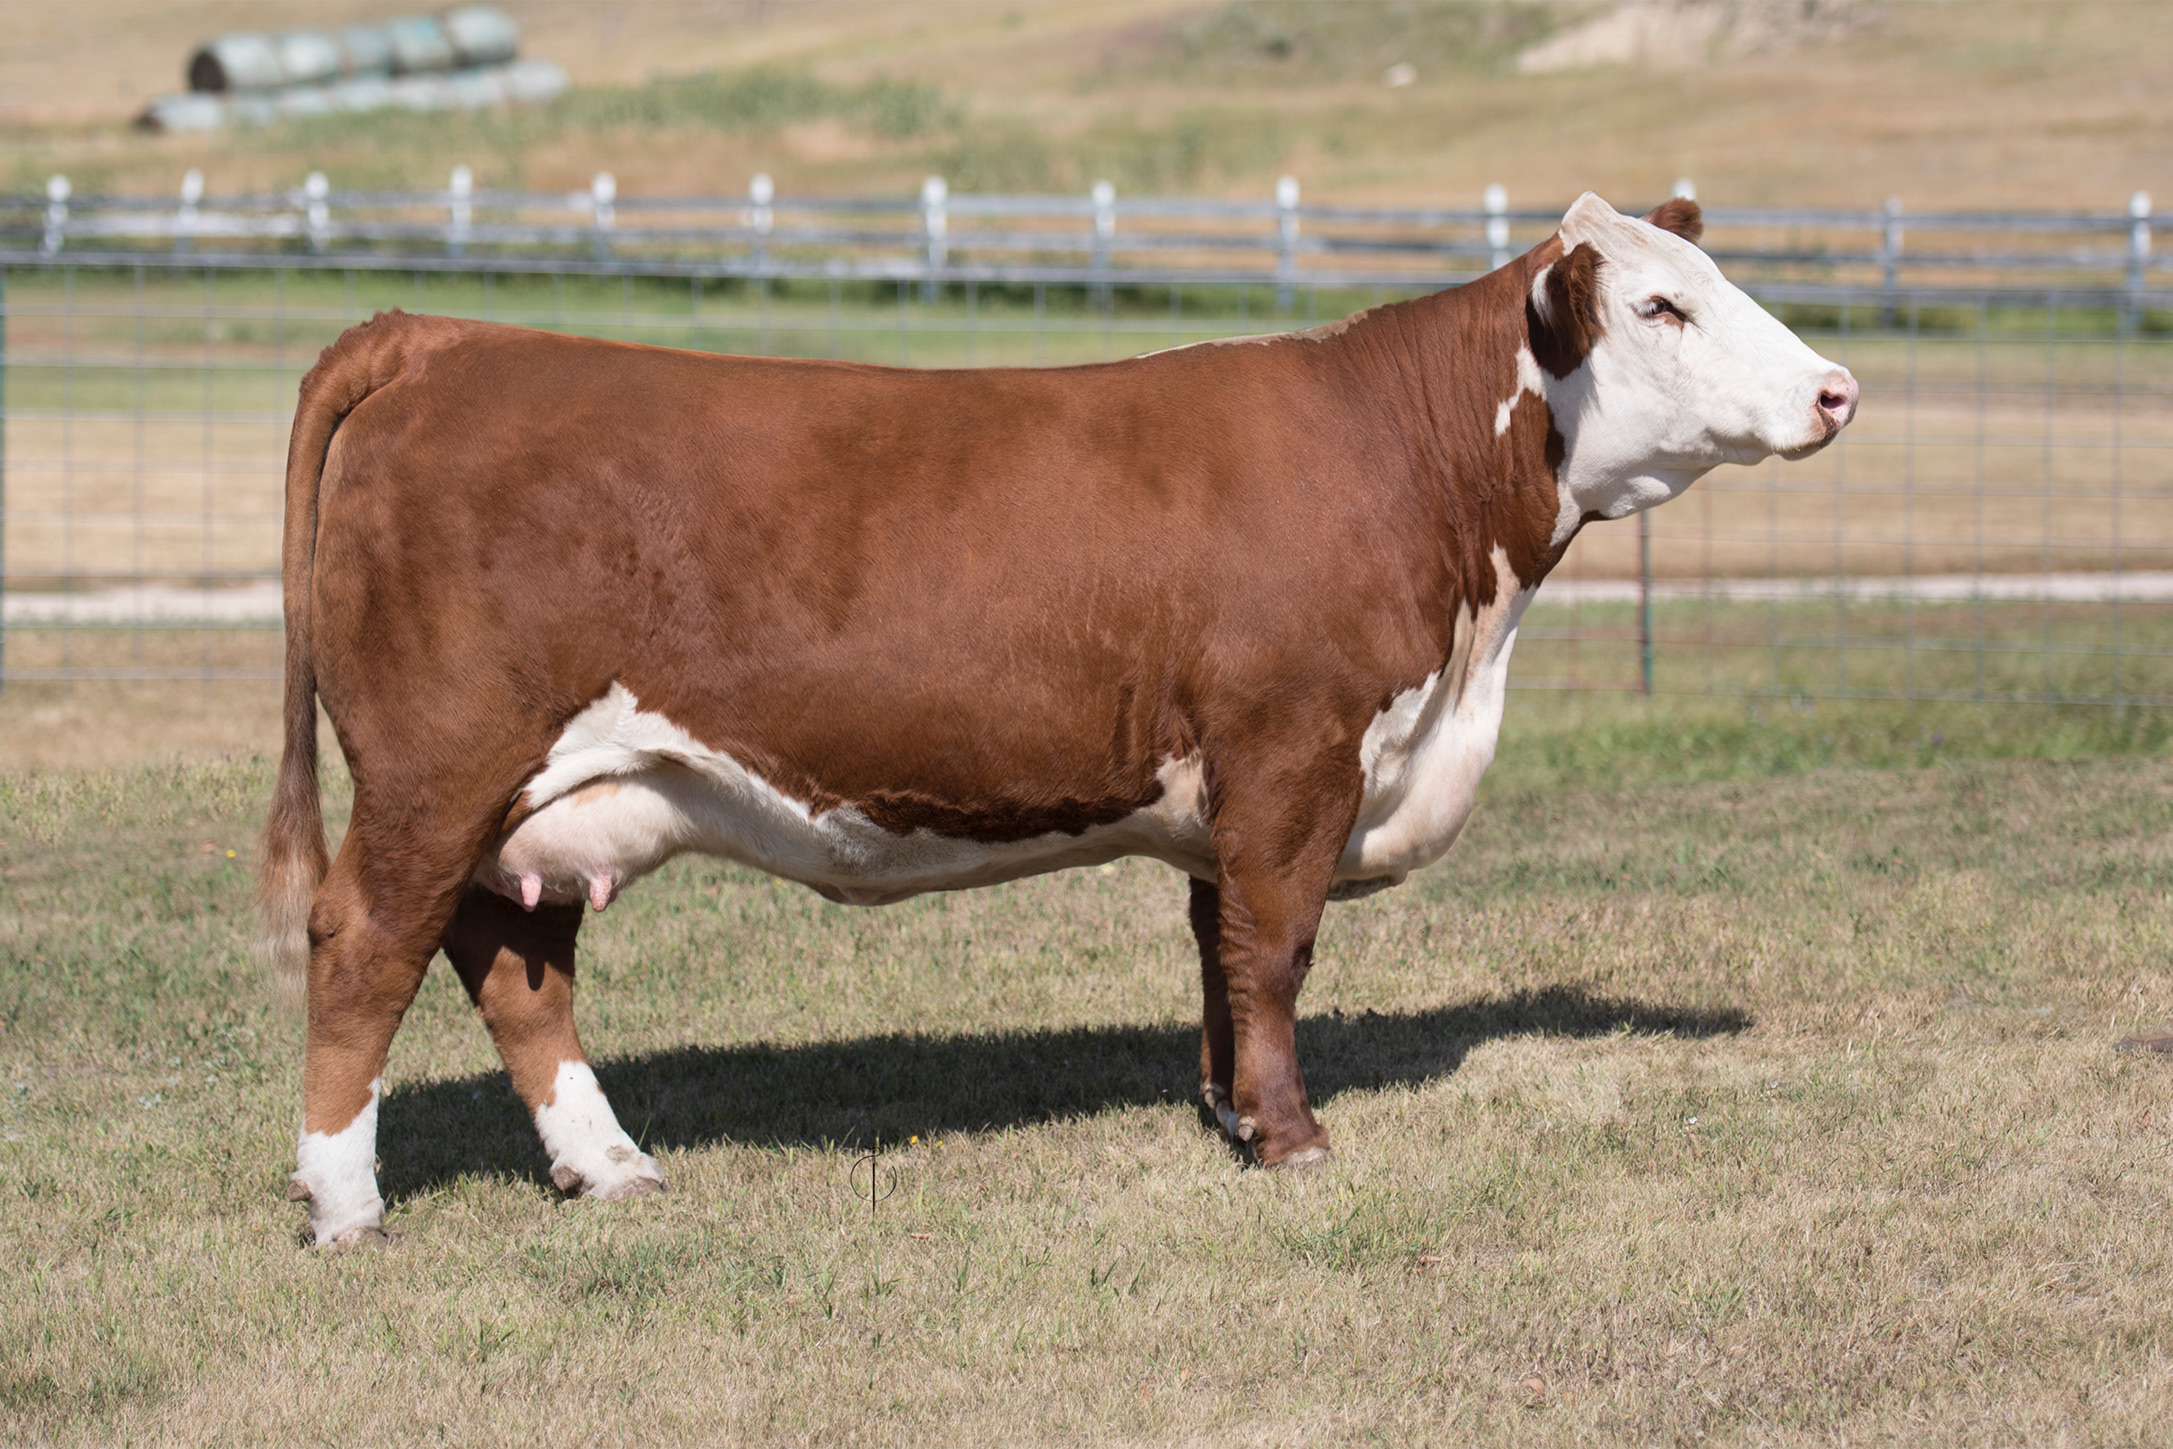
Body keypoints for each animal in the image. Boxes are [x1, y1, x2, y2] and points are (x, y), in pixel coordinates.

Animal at [267, 192, 1868, 1251]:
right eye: (1660, 306)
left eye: (1713, 278)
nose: (1836, 390)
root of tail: (448, 336)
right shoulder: (1294, 750)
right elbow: (1276, 951)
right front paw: (1294, 1142)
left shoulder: (1237, 789)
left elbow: (1222, 954)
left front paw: (1231, 1115)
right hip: (437, 768)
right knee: (365, 942)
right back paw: (346, 1202)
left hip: (536, 792)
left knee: (512, 959)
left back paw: (606, 1165)